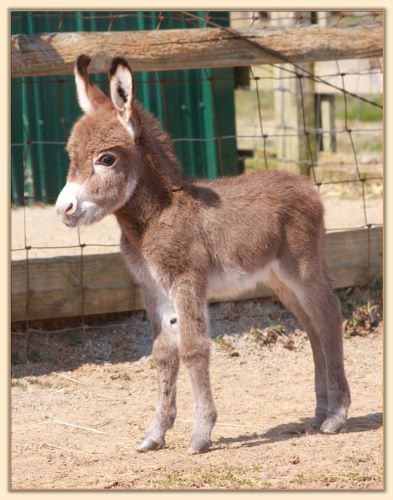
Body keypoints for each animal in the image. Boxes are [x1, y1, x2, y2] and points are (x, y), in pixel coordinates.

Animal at [54, 54, 350, 454]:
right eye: (70, 156)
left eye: (106, 159)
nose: (64, 209)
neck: (155, 217)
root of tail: (306, 185)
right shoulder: (152, 287)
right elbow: (163, 354)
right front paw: (155, 434)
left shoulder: (186, 280)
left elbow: (193, 348)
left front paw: (200, 434)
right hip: (280, 280)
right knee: (312, 325)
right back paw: (321, 411)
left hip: (302, 268)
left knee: (329, 315)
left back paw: (337, 415)